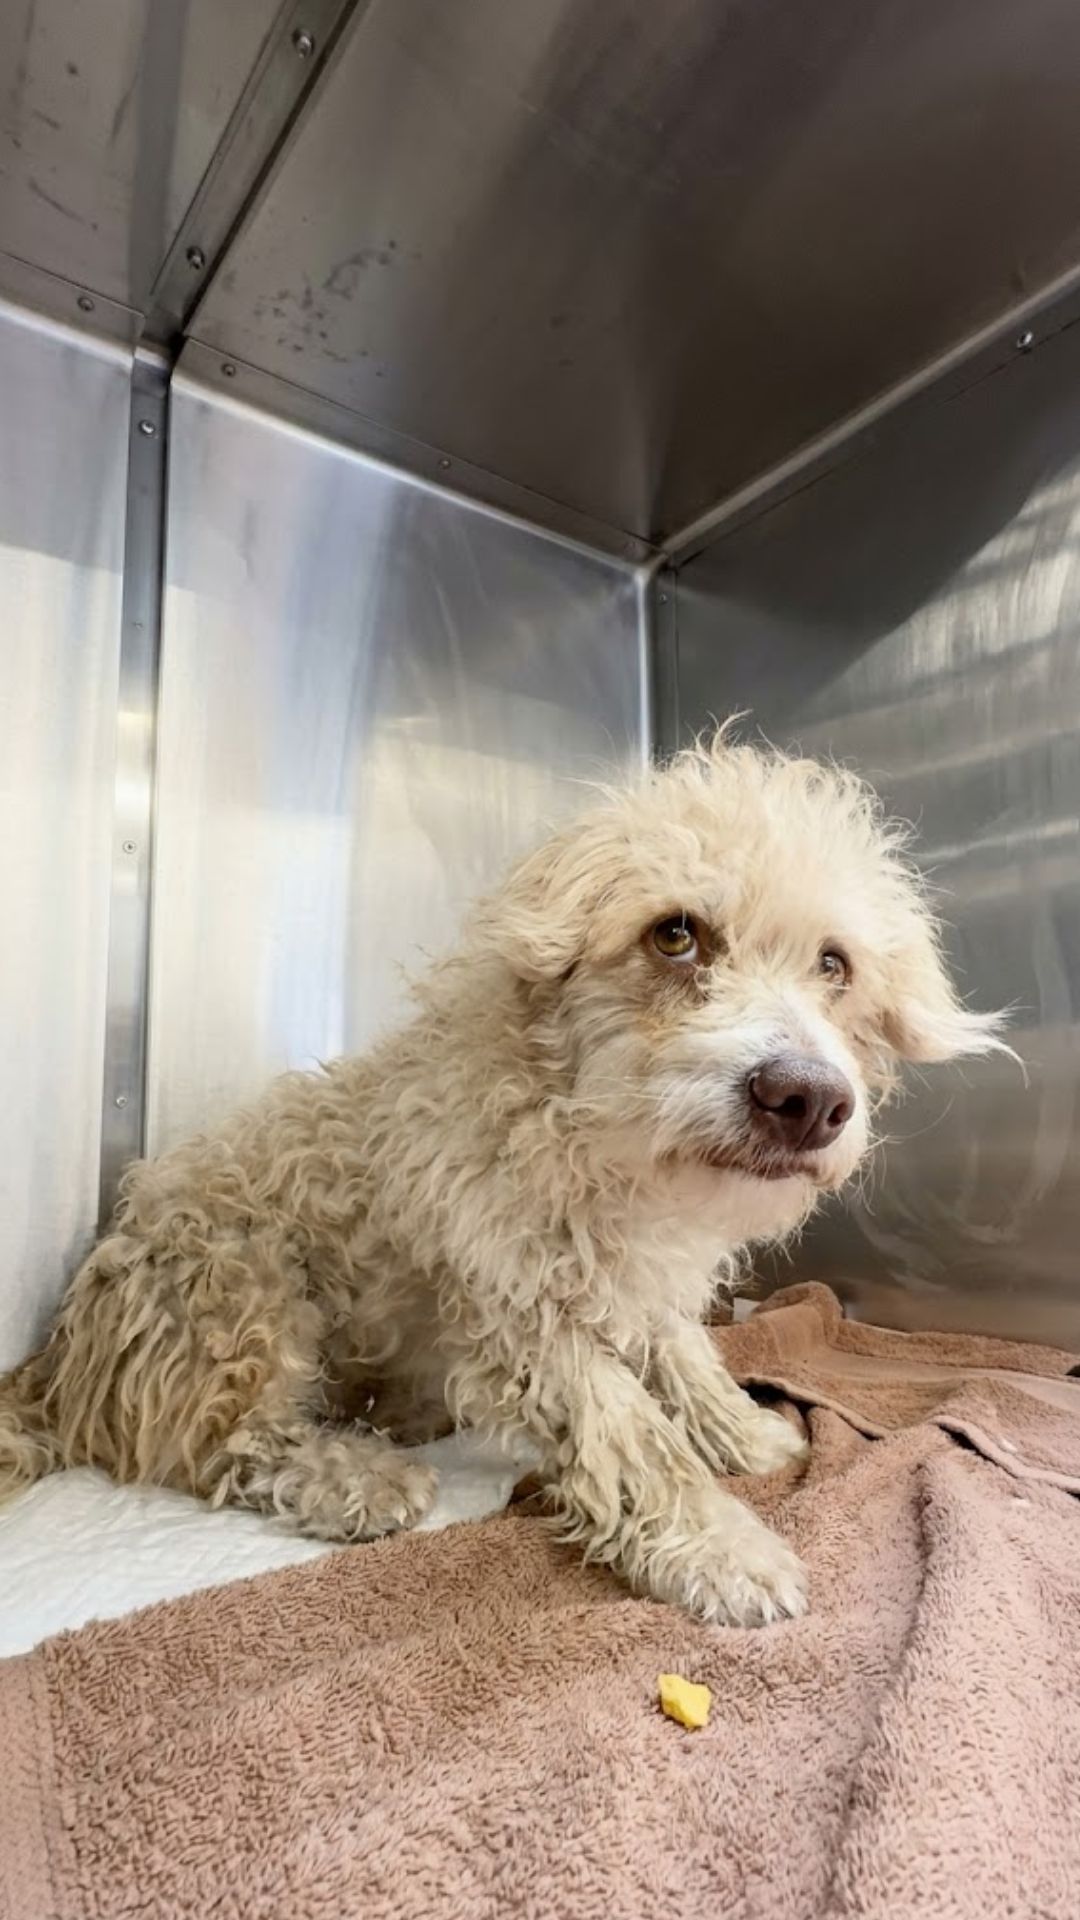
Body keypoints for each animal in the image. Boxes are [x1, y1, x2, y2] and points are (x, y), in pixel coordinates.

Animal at [0, 733, 1006, 1625]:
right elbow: (633, 1438)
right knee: (228, 1445)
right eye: (676, 935)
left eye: (834, 963)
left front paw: (746, 1436)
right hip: (246, 1292)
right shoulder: (523, 1309)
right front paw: (722, 1550)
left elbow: (687, 1361)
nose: (806, 1098)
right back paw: (357, 1476)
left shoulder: (640, 1287)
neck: (598, 1146)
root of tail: (57, 1366)